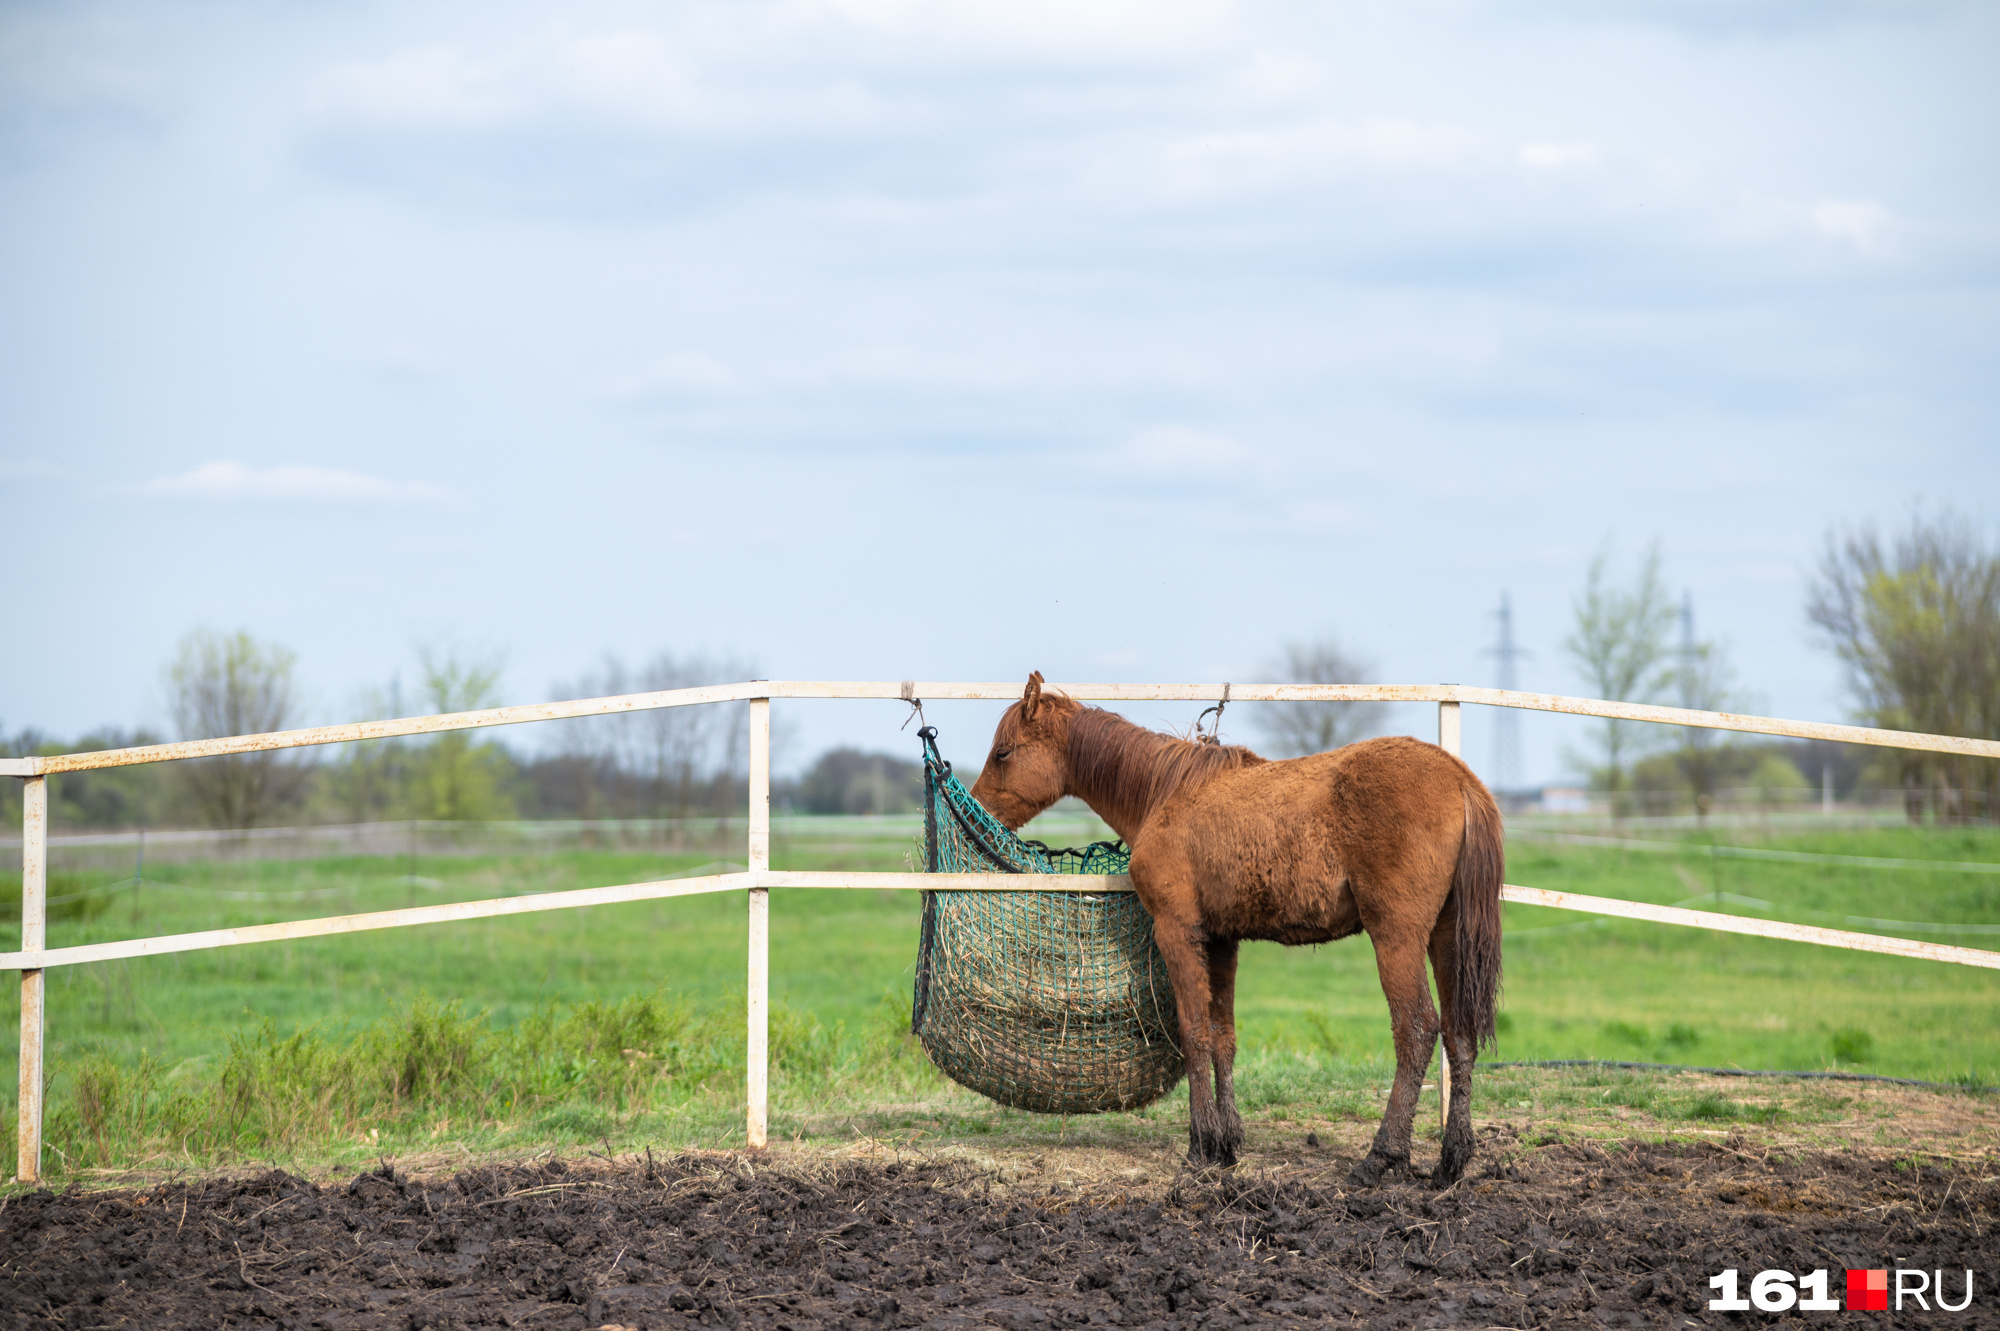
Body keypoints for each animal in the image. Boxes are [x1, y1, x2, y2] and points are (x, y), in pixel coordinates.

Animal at [968, 675, 1504, 1183]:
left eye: (1003, 752)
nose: (978, 812)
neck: (1167, 792)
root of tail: (1460, 781)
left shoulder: (1177, 931)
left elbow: (1194, 1034)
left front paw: (1199, 1148)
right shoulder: (1222, 941)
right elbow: (1222, 1035)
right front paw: (1226, 1145)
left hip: (1397, 937)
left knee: (1417, 1030)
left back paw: (1381, 1157)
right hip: (1445, 938)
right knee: (1458, 1034)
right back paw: (1451, 1161)